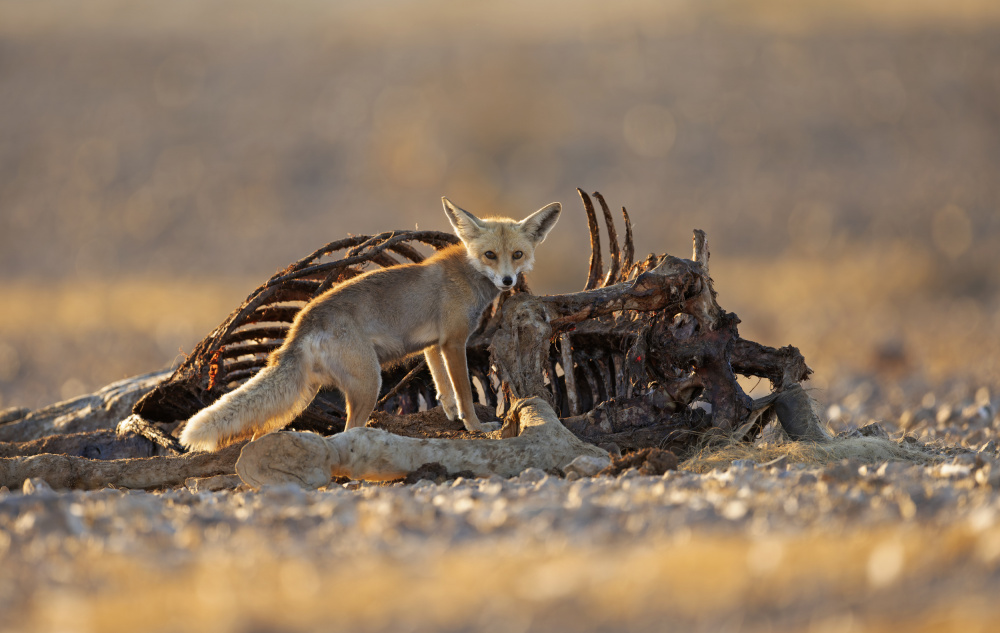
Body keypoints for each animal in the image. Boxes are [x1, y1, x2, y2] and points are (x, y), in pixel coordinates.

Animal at [179, 197, 562, 452]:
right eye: (490, 256)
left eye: (517, 254)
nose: (509, 281)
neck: (468, 274)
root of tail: (301, 322)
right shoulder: (453, 342)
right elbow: (465, 392)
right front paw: (475, 426)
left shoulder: (433, 345)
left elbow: (443, 386)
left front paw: (451, 413)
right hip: (368, 384)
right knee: (346, 432)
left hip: (302, 396)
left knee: (261, 433)